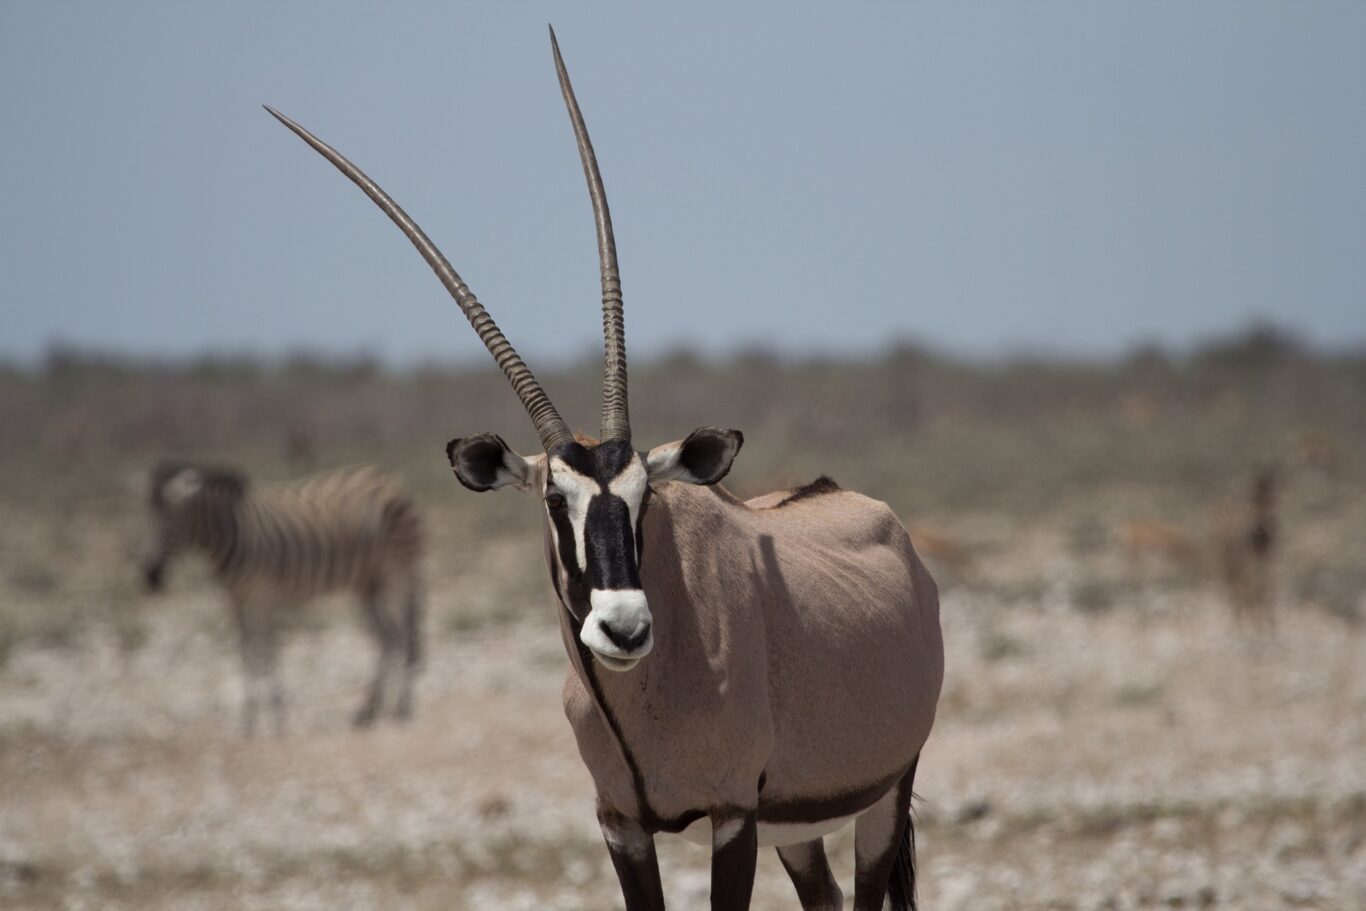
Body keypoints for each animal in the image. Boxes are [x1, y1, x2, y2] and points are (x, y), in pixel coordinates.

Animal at [140, 464, 420, 732]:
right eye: (143, 521)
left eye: (171, 526)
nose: (151, 578)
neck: (232, 532)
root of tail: (390, 478)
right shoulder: (236, 600)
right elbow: (246, 655)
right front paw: (248, 724)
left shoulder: (263, 596)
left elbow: (267, 654)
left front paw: (277, 721)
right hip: (367, 582)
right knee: (388, 636)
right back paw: (368, 713)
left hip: (397, 569)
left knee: (404, 633)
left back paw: (402, 709)